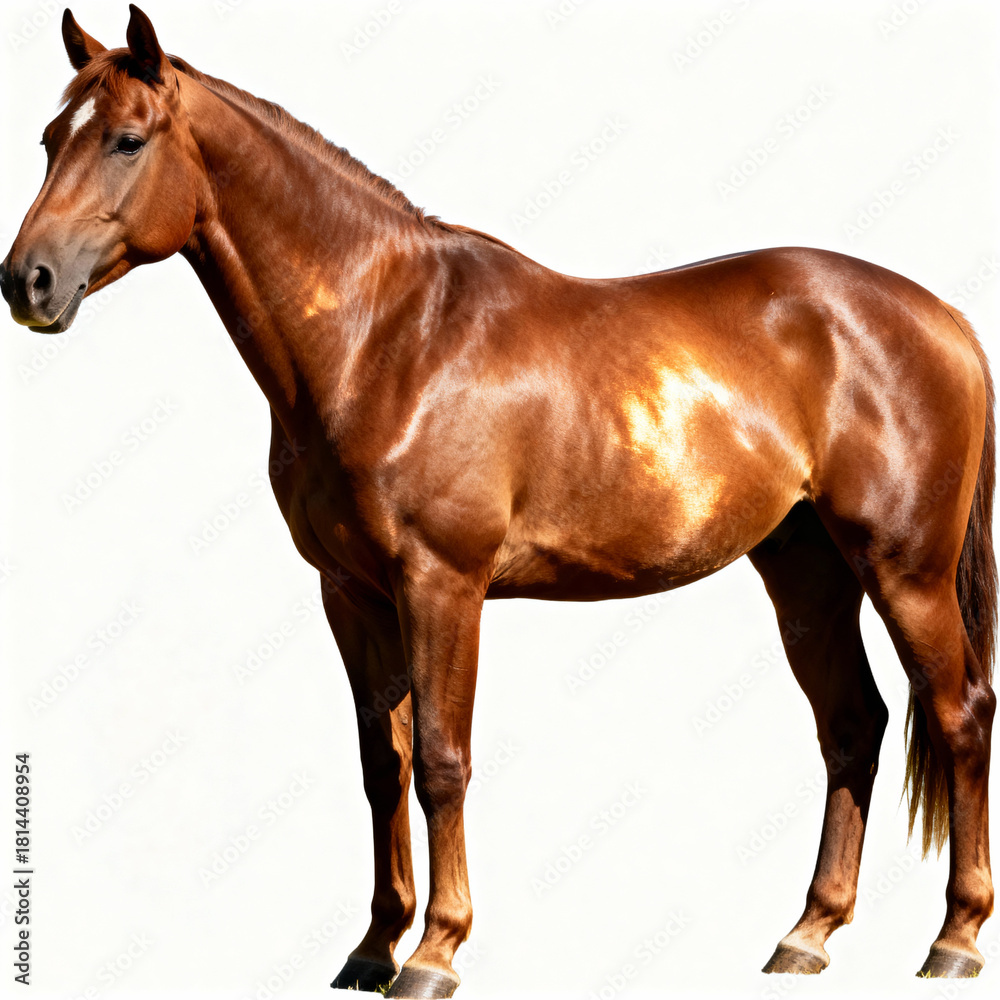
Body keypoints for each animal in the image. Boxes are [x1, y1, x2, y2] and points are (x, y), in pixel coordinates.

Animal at [2, 6, 995, 997]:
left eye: (128, 140)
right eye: (50, 138)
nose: (27, 282)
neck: (385, 339)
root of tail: (942, 317)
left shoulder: (443, 584)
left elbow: (443, 762)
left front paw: (435, 951)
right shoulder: (350, 594)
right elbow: (383, 763)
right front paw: (372, 947)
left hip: (905, 571)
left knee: (959, 713)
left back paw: (953, 940)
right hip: (806, 570)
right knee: (853, 725)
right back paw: (807, 936)